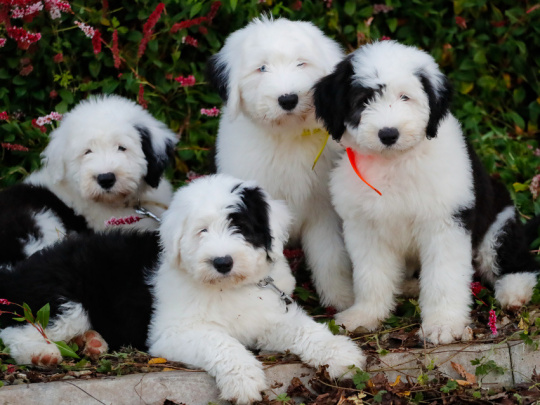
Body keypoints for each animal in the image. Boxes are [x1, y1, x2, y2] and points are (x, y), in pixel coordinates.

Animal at [0, 174, 368, 404]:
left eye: (241, 227)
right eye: (201, 231)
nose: (222, 261)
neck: (226, 288)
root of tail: (17, 271)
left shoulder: (270, 313)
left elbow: (304, 329)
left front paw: (341, 353)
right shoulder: (172, 332)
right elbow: (221, 342)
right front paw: (243, 380)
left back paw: (91, 343)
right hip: (61, 300)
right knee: (15, 331)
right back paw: (43, 353)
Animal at [206, 16, 354, 310]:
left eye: (301, 63)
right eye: (262, 68)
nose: (288, 99)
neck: (287, 136)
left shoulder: (323, 209)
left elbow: (330, 255)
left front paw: (340, 298)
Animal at [312, 39, 540, 344]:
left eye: (405, 97)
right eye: (363, 101)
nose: (388, 134)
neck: (394, 162)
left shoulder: (445, 222)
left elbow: (443, 278)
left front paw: (443, 325)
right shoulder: (365, 227)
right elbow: (371, 275)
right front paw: (365, 315)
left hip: (498, 224)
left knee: (516, 260)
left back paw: (514, 291)